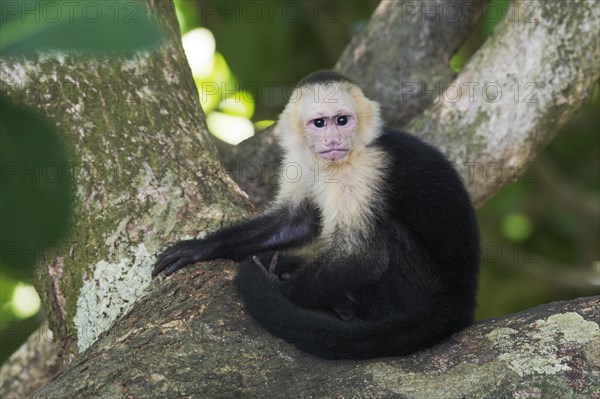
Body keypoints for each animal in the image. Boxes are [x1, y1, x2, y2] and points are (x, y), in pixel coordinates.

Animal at [152, 70, 480, 360]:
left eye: (342, 120)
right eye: (320, 123)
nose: (333, 140)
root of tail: (462, 300)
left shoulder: (363, 170)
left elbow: (362, 259)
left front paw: (274, 286)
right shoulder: (301, 161)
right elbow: (293, 222)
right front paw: (200, 248)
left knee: (387, 235)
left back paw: (359, 314)